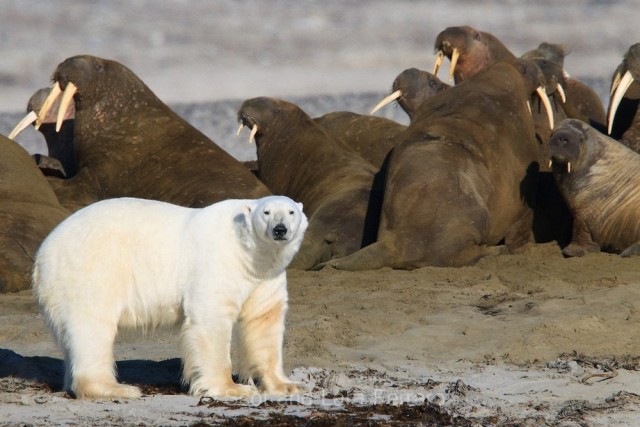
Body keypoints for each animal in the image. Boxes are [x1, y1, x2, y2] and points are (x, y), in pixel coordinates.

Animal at [32, 195, 308, 399]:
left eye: (291, 212)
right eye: (266, 212)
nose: (280, 230)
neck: (248, 253)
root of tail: (42, 254)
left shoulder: (264, 276)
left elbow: (264, 322)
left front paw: (287, 385)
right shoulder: (218, 261)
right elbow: (211, 317)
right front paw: (233, 388)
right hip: (90, 269)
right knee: (92, 328)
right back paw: (119, 388)